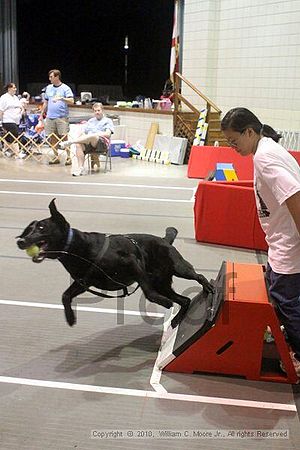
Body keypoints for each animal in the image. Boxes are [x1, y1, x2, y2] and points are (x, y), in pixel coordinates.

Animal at [17, 199, 213, 328]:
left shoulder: (133, 263)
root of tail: (165, 240)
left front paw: (162, 303)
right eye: (28, 229)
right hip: (162, 283)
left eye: (41, 228)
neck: (78, 249)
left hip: (178, 267)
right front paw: (70, 317)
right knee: (184, 300)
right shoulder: (84, 282)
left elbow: (148, 293)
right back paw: (177, 319)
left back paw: (209, 288)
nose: (21, 241)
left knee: (199, 276)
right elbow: (65, 296)